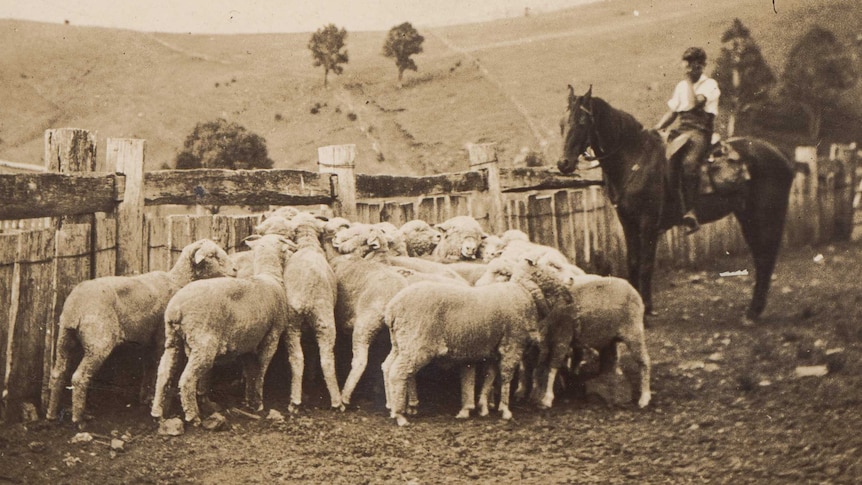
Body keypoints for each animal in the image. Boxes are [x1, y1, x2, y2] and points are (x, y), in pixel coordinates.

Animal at [46, 238, 236, 424]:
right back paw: (79, 419)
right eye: (212, 255)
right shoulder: (160, 338)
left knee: (57, 373)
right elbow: (159, 367)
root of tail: (75, 305)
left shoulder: (148, 340)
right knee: (79, 377)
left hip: (64, 337)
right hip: (98, 341)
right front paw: (155, 400)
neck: (177, 281)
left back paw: (51, 414)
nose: (235, 270)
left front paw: (145, 397)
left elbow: (149, 367)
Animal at [149, 233, 296, 422]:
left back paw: (157, 412)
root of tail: (176, 308)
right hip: (203, 343)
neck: (269, 277)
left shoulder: (247, 343)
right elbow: (261, 371)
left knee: (163, 374)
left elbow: (251, 371)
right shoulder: (272, 336)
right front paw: (259, 402)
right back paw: (193, 416)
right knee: (186, 379)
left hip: (173, 340)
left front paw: (249, 401)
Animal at [384, 255, 572, 426]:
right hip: (416, 343)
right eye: (553, 267)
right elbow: (506, 376)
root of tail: (393, 308)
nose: (571, 279)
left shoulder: (493, 350)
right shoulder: (512, 344)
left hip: (401, 342)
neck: (524, 291)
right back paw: (400, 416)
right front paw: (505, 410)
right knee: (398, 373)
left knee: (387, 367)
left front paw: (482, 406)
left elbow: (490, 376)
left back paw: (392, 408)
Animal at [560, 86, 796, 322]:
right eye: (562, 123)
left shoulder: (648, 223)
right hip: (747, 217)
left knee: (765, 256)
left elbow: (646, 265)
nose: (563, 164)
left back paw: (753, 312)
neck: (634, 159)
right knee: (761, 256)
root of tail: (780, 155)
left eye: (582, 122)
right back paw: (753, 311)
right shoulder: (627, 222)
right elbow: (633, 262)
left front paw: (646, 310)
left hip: (765, 216)